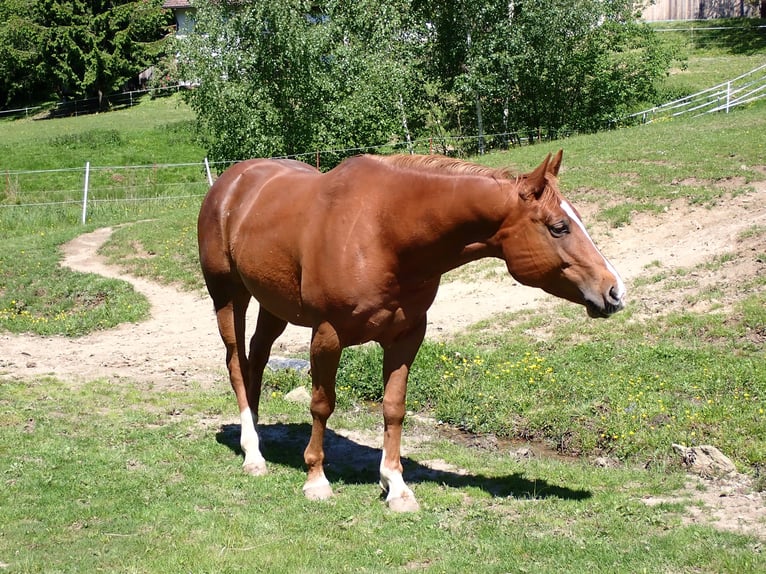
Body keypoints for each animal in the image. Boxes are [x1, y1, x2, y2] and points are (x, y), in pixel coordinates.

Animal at [197, 151, 625, 512]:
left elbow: (393, 407)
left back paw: (256, 435)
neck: (383, 230)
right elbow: (322, 404)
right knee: (236, 364)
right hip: (229, 297)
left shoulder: (406, 336)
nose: (615, 291)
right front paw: (316, 480)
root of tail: (229, 182)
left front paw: (396, 486)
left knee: (257, 358)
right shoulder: (327, 334)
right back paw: (253, 454)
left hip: (273, 304)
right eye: (559, 227)